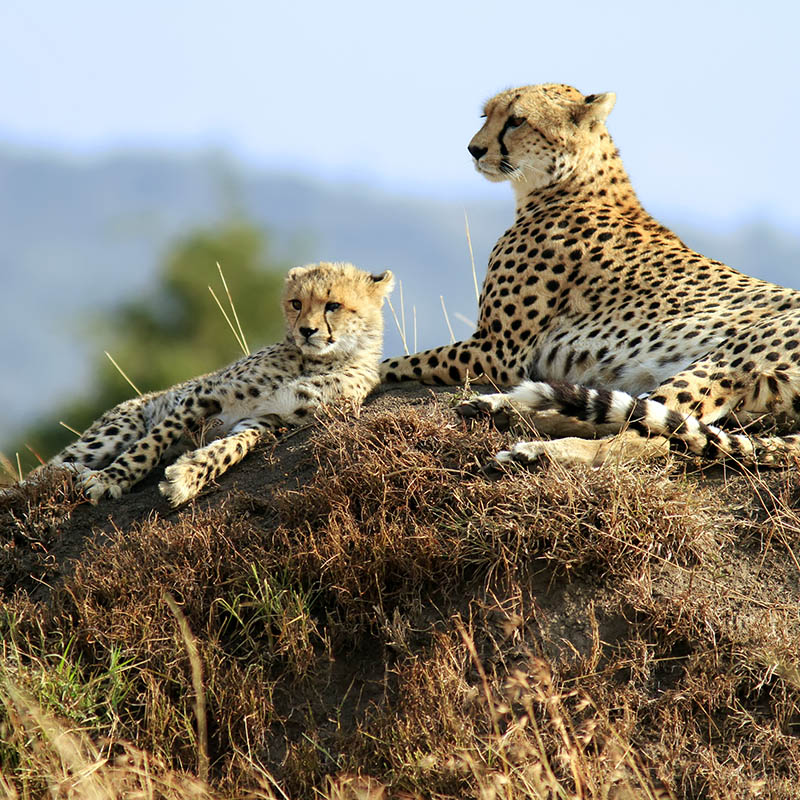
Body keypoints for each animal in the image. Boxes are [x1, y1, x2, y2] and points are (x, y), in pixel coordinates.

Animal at [31, 262, 394, 504]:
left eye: (333, 305)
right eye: (296, 304)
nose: (306, 331)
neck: (319, 360)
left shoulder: (269, 419)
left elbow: (232, 447)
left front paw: (189, 475)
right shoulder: (203, 396)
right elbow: (149, 444)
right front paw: (111, 479)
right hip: (117, 429)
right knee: (39, 473)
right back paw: (64, 473)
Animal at [382, 84, 800, 466]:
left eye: (517, 120)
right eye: (487, 115)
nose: (474, 149)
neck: (570, 183)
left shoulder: (497, 350)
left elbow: (396, 363)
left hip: (722, 362)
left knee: (649, 436)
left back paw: (532, 445)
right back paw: (511, 411)